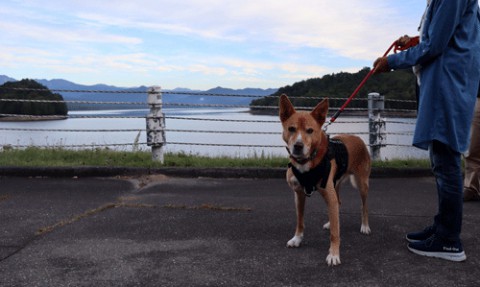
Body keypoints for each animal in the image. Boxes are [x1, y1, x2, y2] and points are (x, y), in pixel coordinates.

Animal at [278, 95, 372, 268]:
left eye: (310, 130)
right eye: (291, 129)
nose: (298, 146)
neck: (307, 162)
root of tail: (357, 137)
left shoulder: (328, 193)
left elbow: (336, 233)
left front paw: (334, 254)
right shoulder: (299, 194)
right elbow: (300, 220)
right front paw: (297, 239)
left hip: (362, 184)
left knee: (364, 206)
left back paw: (365, 226)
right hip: (336, 183)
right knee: (338, 203)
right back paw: (330, 222)